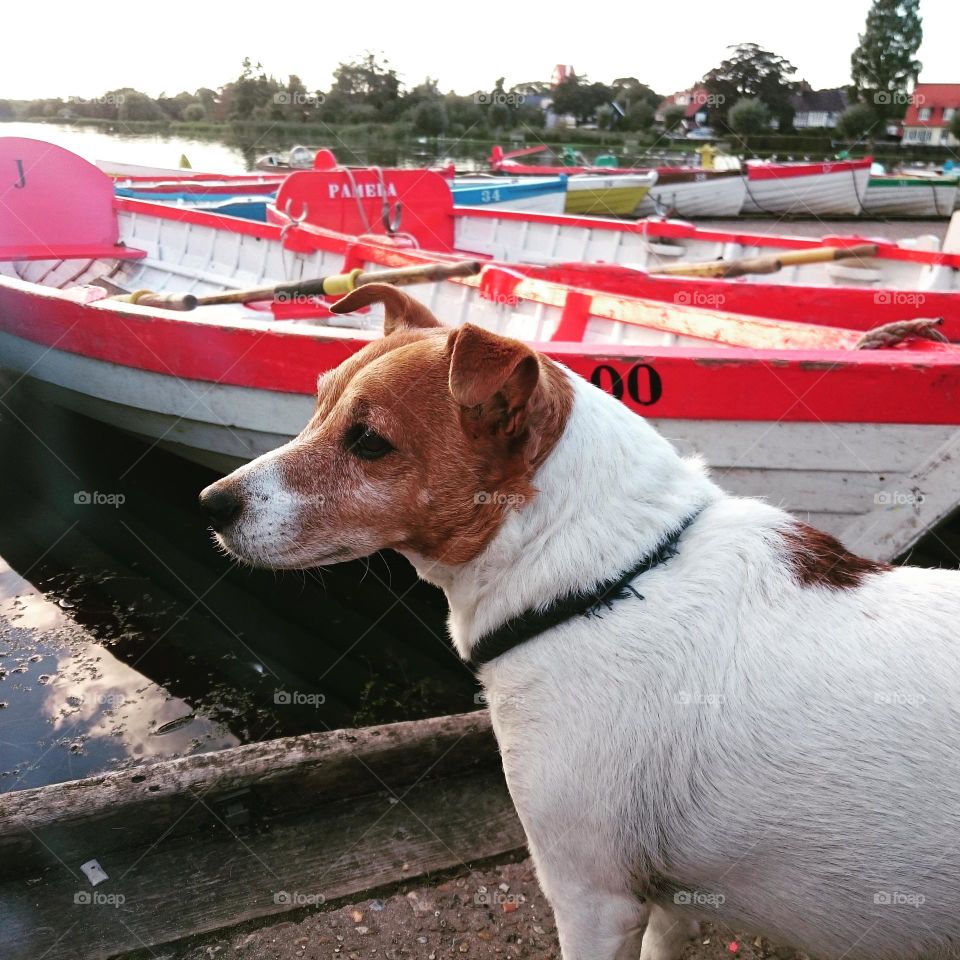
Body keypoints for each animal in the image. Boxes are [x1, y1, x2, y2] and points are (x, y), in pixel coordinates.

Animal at [199, 284, 960, 960]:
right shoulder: (669, 896)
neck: (606, 582)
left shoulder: (592, 896)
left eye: (369, 442)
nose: (211, 503)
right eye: (318, 405)